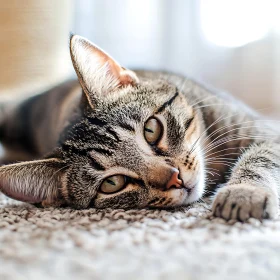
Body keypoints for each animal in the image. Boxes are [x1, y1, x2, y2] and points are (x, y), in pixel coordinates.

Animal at [0, 35, 278, 221]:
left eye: (151, 130)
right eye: (113, 183)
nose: (175, 177)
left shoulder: (265, 132)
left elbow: (260, 159)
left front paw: (243, 192)